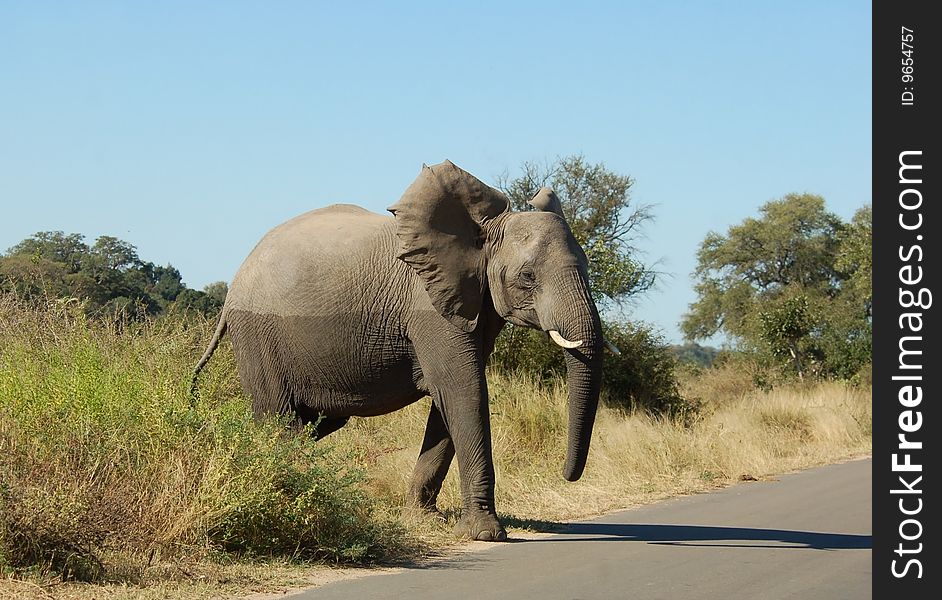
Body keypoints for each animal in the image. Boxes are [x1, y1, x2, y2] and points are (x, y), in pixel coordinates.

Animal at [193, 161, 608, 544]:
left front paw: (424, 520)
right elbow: (464, 390)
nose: (566, 474)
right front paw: (486, 534)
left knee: (313, 423)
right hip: (258, 336)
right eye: (527, 277)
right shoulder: (428, 308)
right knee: (278, 419)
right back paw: (284, 495)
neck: (479, 232)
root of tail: (233, 286)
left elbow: (447, 402)